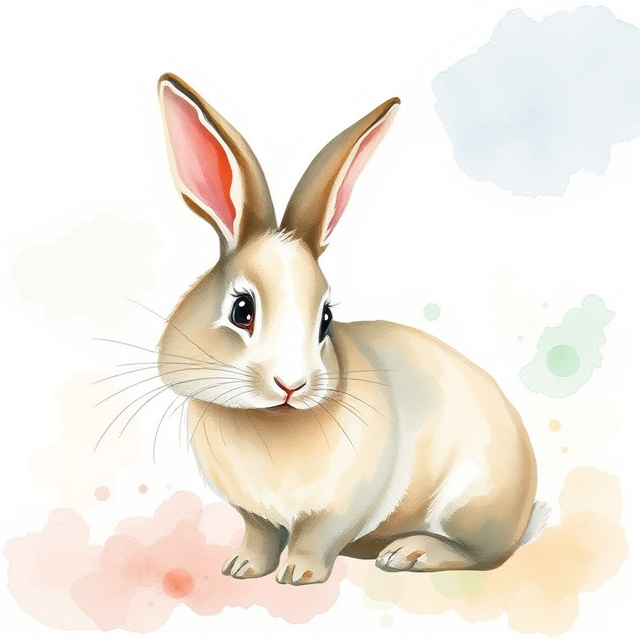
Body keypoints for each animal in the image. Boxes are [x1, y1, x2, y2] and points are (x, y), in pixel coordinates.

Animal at [156, 73, 538, 585]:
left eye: (326, 319)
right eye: (241, 310)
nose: (291, 385)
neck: (271, 421)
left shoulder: (342, 509)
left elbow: (316, 539)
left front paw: (298, 574)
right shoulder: (253, 513)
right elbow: (259, 535)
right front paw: (242, 568)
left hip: (470, 502)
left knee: (481, 553)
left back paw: (409, 553)